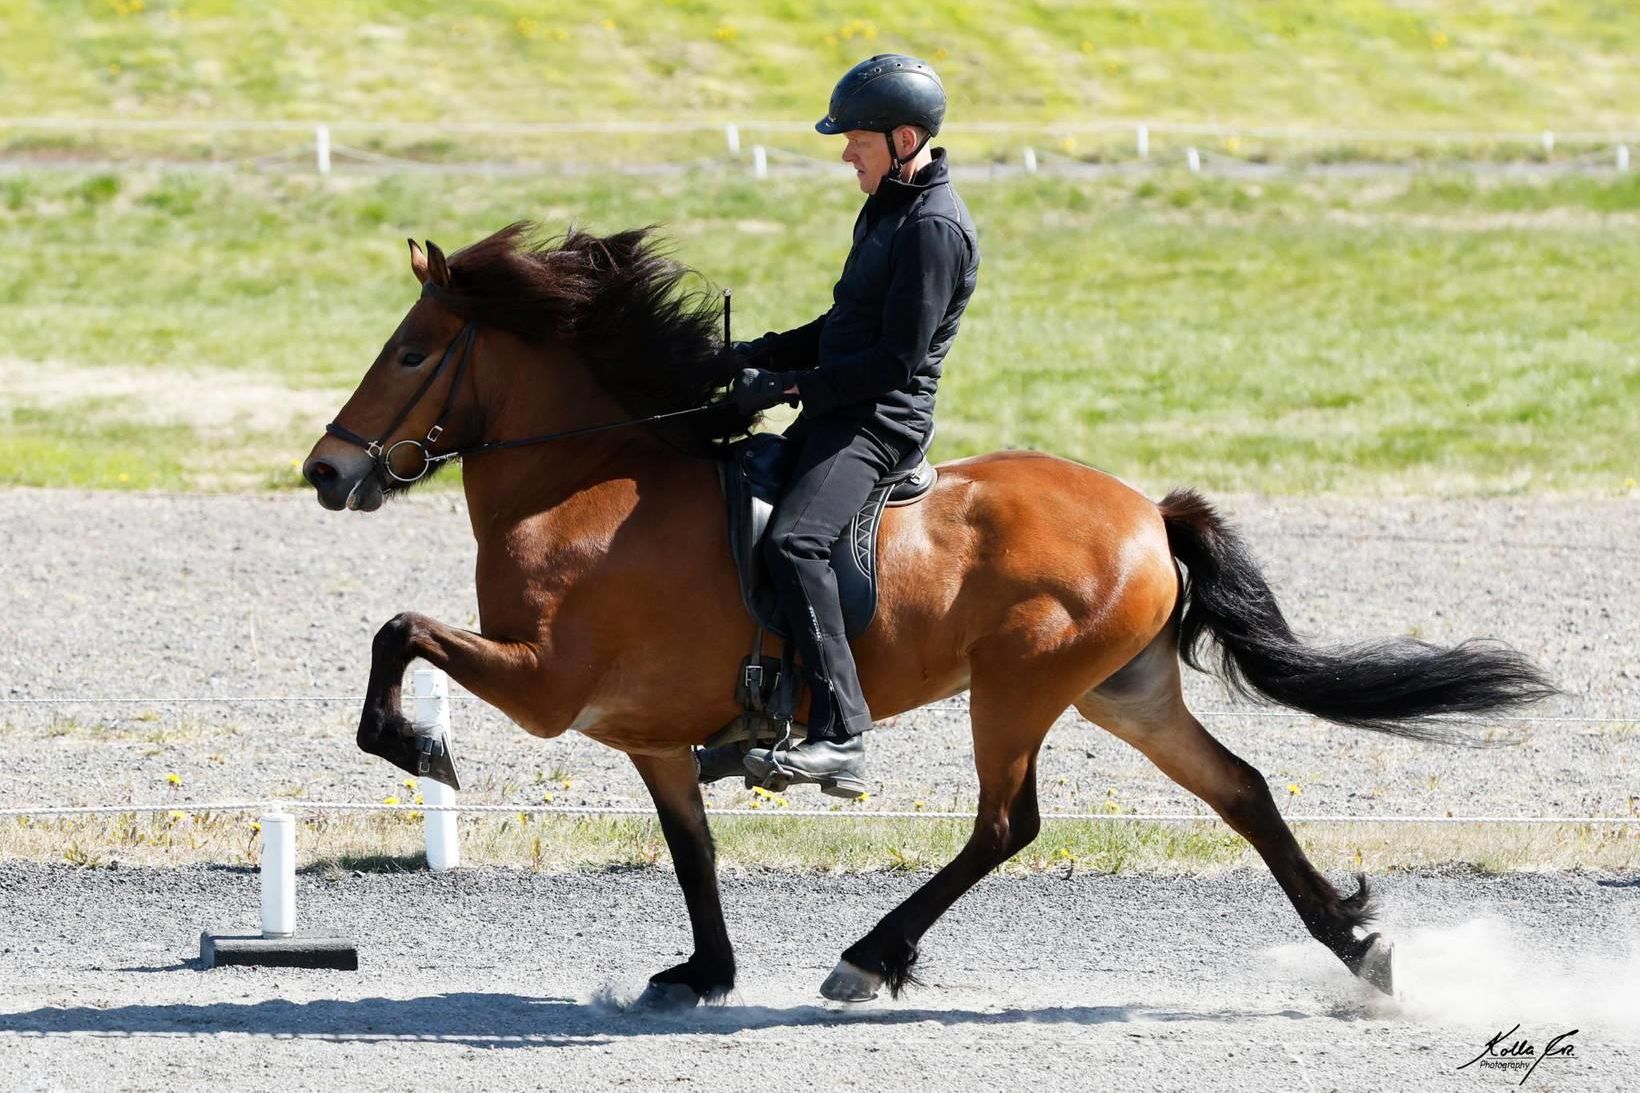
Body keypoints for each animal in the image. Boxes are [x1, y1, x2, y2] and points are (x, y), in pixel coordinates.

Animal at [305, 224, 1548, 1010]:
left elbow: (398, 629)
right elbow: (691, 852)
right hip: (1122, 691)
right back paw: (1358, 950)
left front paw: (415, 747)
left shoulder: (544, 685)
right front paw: (702, 975)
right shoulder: (646, 734)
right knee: (1239, 790)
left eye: (409, 353)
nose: (325, 472)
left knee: (1005, 825)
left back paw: (868, 955)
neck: (583, 480)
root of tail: (1146, 510)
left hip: (1020, 687)